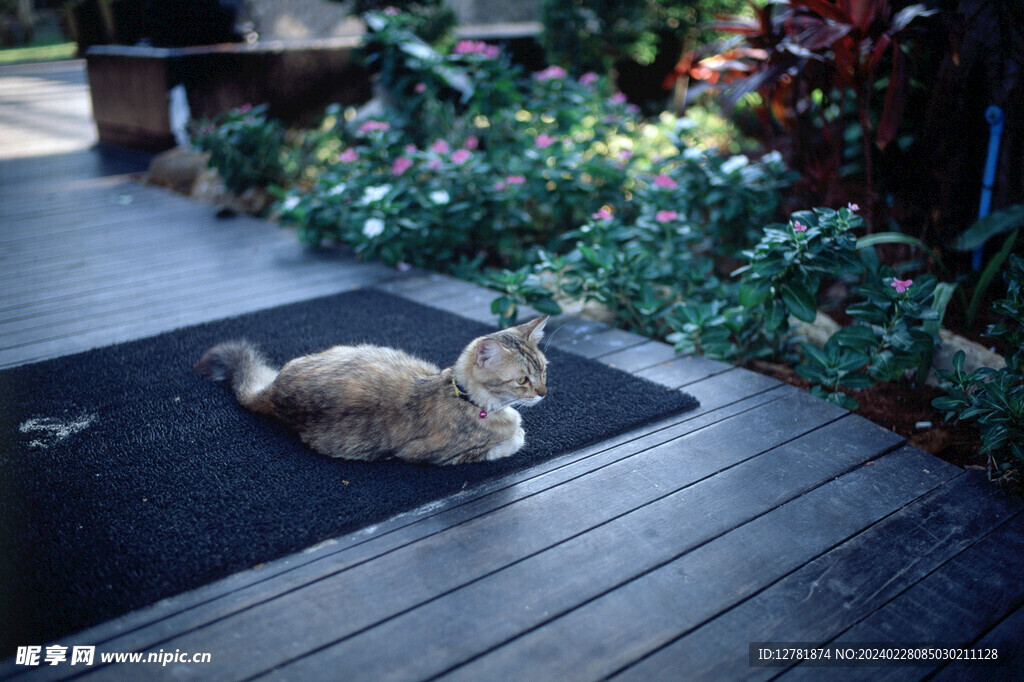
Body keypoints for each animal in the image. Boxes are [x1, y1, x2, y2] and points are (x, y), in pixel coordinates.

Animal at [192, 315, 548, 464]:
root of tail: (273, 390)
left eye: (544, 370)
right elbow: (512, 441)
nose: (543, 393)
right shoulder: (432, 455)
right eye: (522, 380)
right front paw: (516, 433)